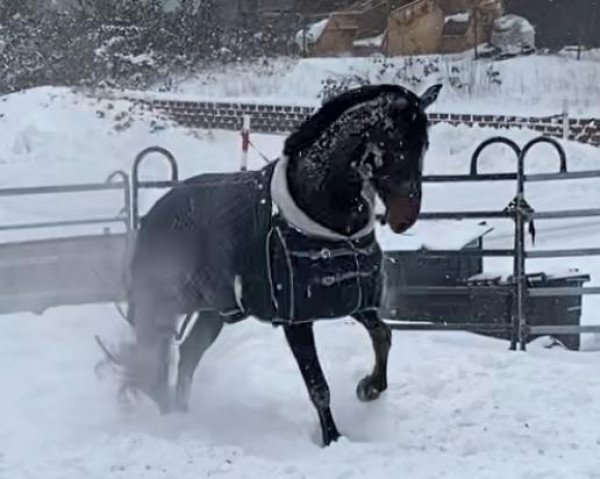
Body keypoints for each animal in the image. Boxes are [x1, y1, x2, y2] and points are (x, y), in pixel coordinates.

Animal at [115, 82, 440, 446]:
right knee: (152, 358)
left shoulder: (353, 300)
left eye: (425, 144)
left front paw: (368, 388)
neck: (324, 220)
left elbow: (383, 334)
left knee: (186, 356)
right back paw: (167, 418)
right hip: (161, 304)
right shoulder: (296, 320)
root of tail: (153, 215)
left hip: (215, 312)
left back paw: (181, 415)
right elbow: (318, 387)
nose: (404, 218)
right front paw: (332, 438)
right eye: (392, 142)